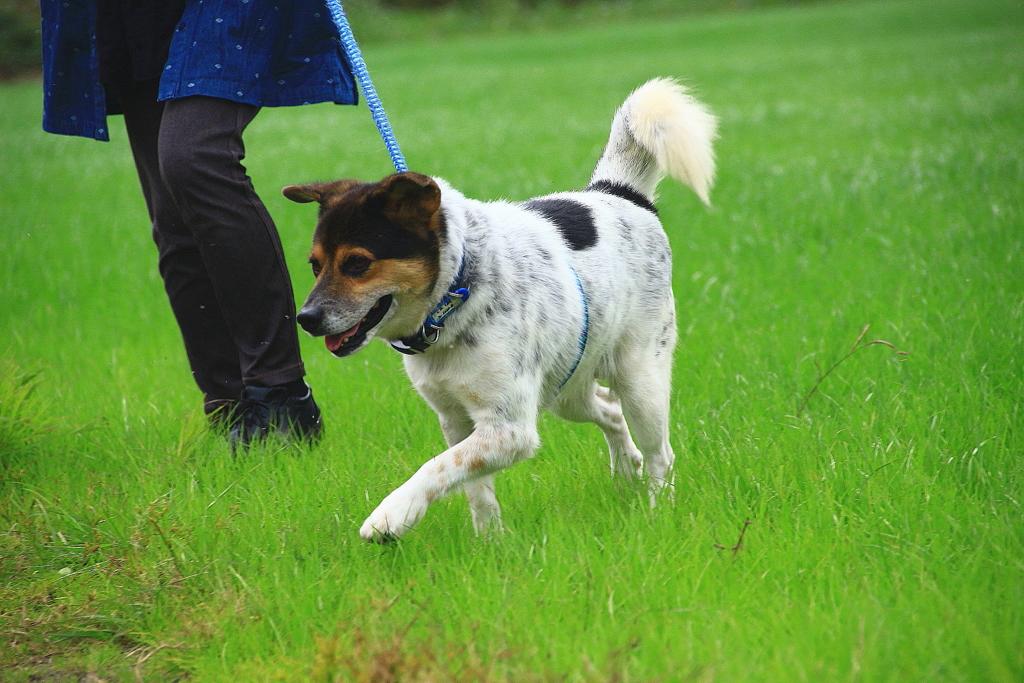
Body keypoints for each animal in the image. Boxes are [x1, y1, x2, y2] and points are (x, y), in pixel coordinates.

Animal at [284, 77, 716, 540]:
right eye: (314, 266)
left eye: (357, 264)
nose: (306, 319)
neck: (456, 294)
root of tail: (619, 192)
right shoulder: (457, 420)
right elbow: (472, 484)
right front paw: (491, 541)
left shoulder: (509, 429)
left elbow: (436, 467)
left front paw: (391, 515)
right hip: (567, 386)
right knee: (610, 411)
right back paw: (625, 472)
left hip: (640, 379)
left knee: (660, 453)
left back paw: (657, 512)